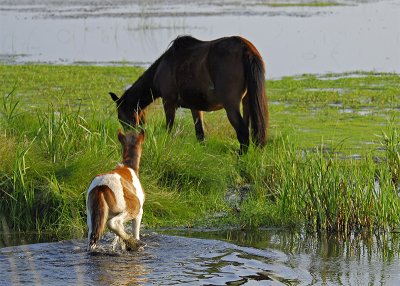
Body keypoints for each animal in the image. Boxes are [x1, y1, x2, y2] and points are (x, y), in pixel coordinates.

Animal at [110, 35, 268, 154]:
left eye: (121, 116)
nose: (128, 140)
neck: (162, 68)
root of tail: (246, 48)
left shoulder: (168, 102)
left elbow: (169, 128)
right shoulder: (195, 106)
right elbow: (200, 134)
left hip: (231, 106)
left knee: (242, 132)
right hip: (247, 102)